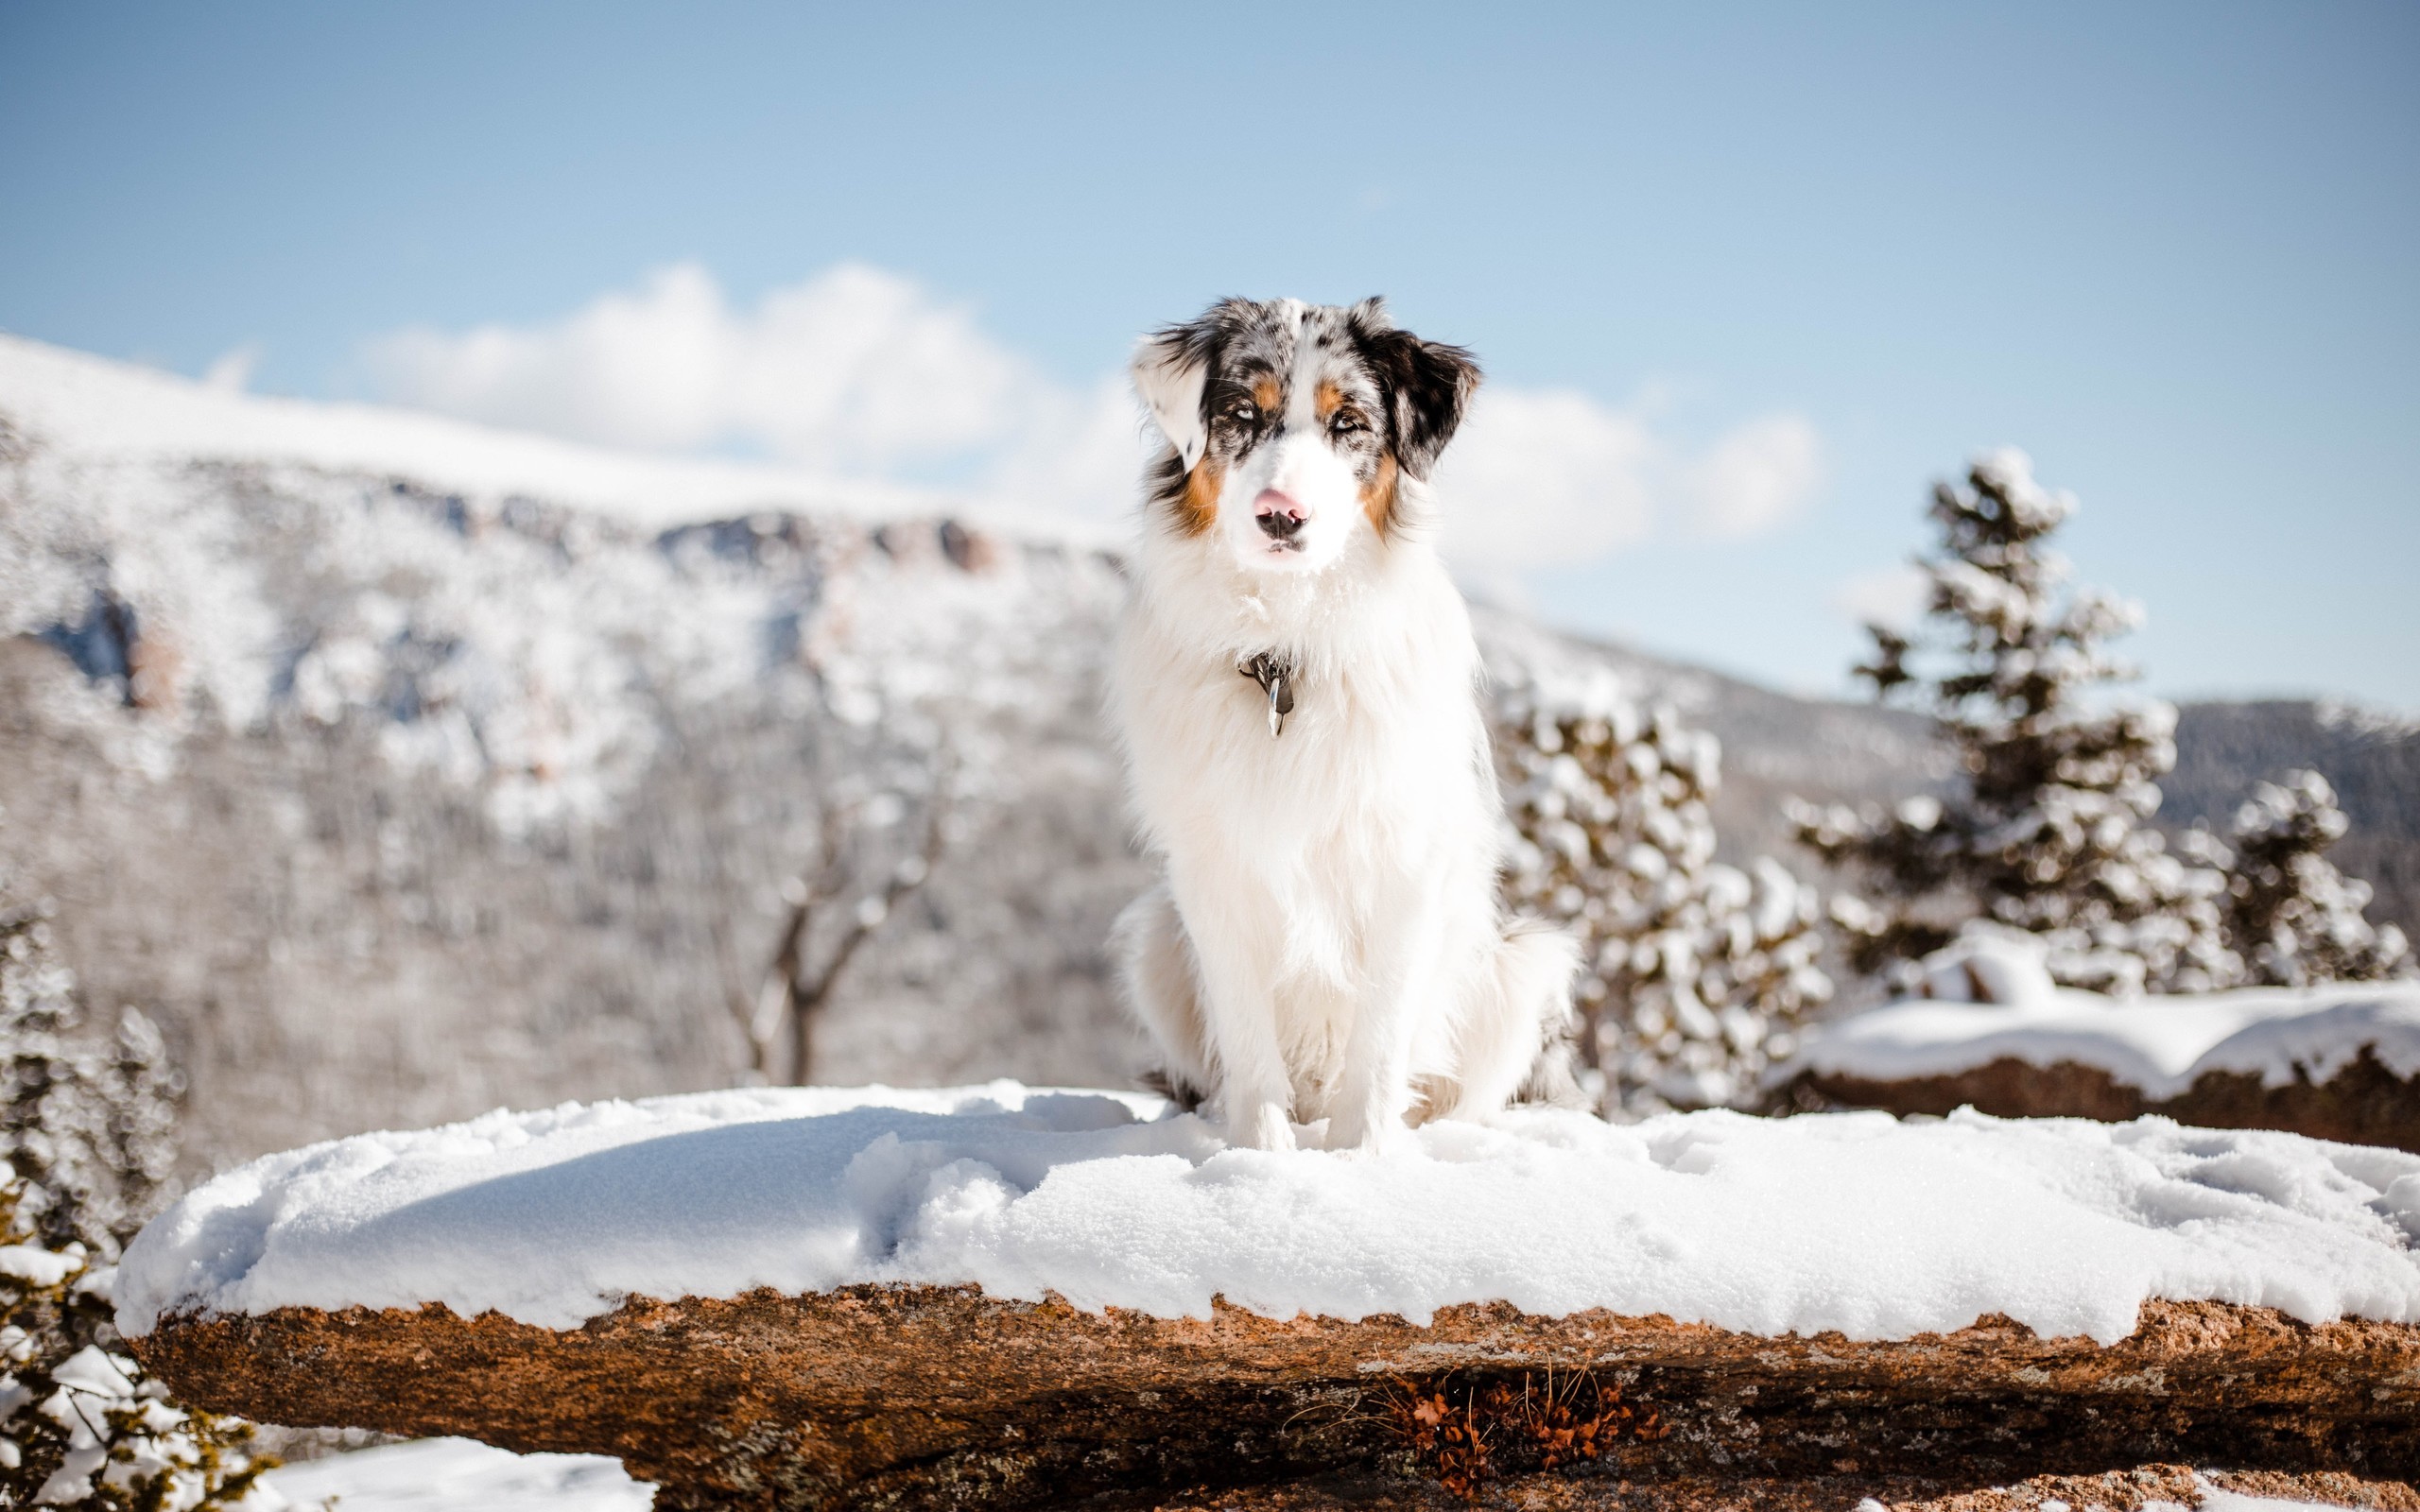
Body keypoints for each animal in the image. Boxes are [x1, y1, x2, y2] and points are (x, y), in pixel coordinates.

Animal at [1108, 295, 1578, 1151]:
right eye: (1240, 415)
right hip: (1155, 937)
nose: (1280, 516)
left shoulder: (1404, 865)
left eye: (1349, 423)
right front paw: (1259, 1155)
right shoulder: (1211, 870)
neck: (1286, 652)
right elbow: (1248, 1037)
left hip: (1523, 964)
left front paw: (1366, 1160)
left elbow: (1381, 1036)